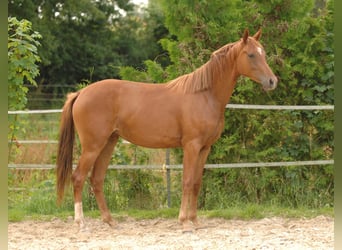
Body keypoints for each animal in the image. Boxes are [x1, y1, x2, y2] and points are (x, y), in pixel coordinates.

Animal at [55, 29, 276, 232]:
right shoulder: (191, 146)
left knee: (97, 179)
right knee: (78, 177)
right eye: (251, 55)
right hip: (93, 146)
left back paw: (110, 221)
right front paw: (184, 222)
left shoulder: (205, 148)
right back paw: (81, 222)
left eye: (263, 53)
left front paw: (195, 221)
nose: (272, 81)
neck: (204, 95)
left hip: (109, 143)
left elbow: (197, 183)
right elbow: (187, 181)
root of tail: (81, 93)